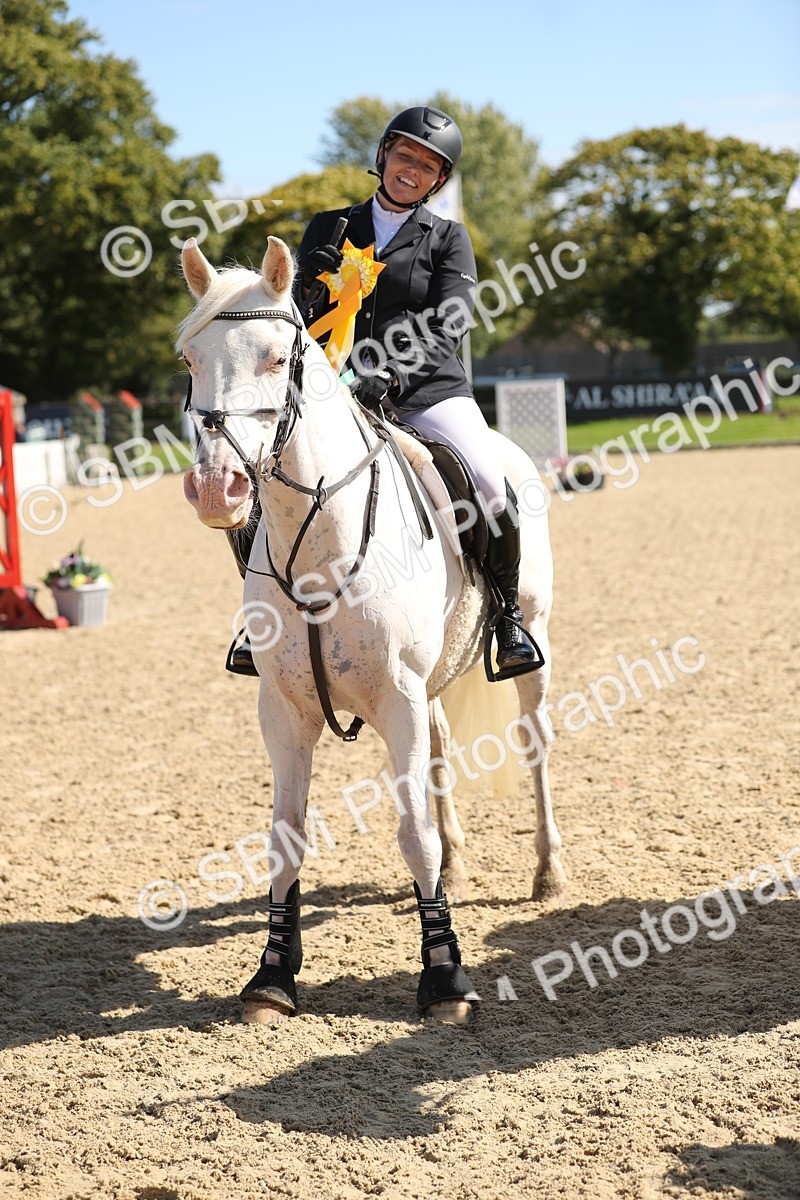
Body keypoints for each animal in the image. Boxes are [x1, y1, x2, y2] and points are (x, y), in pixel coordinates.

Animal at [178, 234, 566, 1024]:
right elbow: (286, 839)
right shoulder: (283, 711)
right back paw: (462, 859)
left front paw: (445, 977)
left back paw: (547, 871)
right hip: (432, 683)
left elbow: (411, 834)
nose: (217, 491)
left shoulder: (397, 699)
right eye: (192, 362)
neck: (319, 542)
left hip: (529, 645)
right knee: (443, 751)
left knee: (534, 741)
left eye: (278, 358)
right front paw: (273, 974)